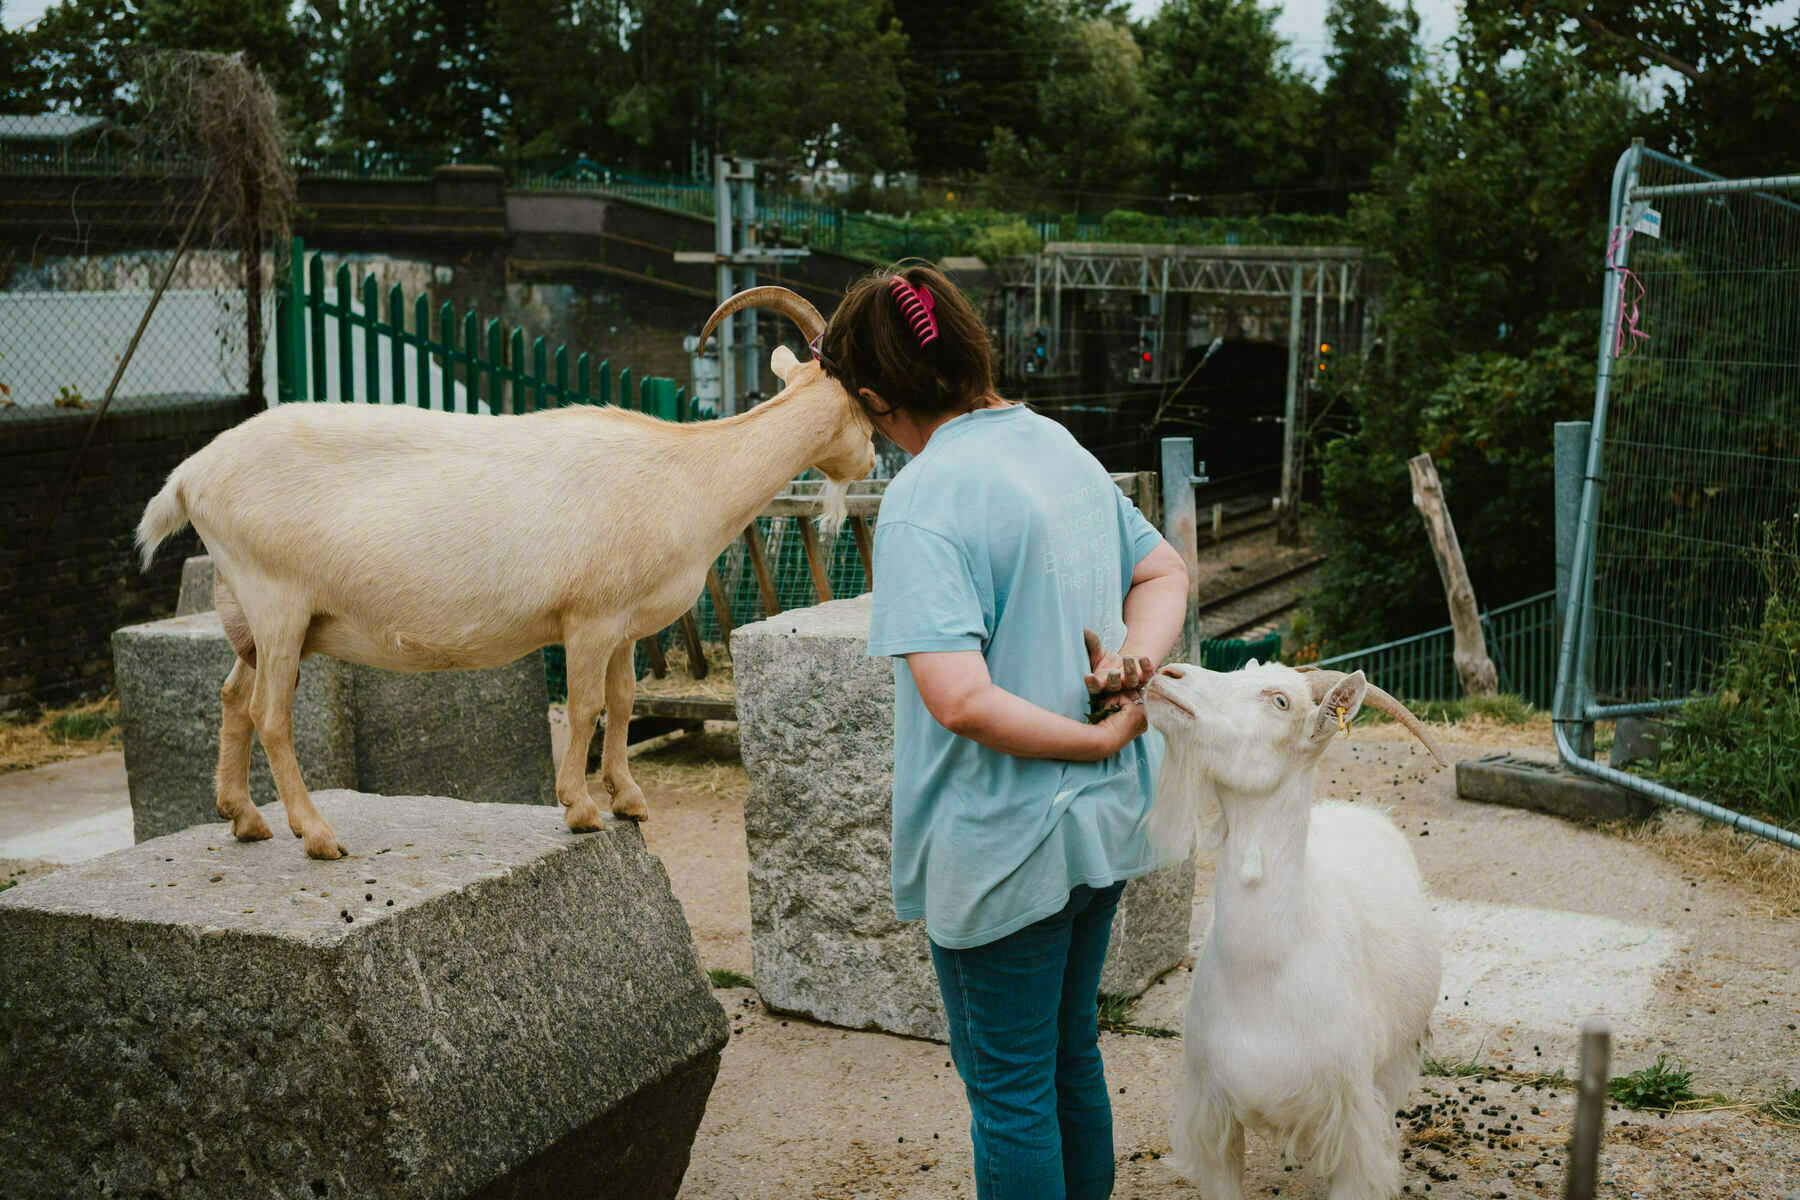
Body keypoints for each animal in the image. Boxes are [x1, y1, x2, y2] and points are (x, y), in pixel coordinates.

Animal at [135, 286, 871, 859]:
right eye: (863, 407)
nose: (867, 460)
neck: (687, 471)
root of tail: (189, 477)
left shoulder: (624, 624)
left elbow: (624, 700)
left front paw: (629, 799)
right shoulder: (589, 618)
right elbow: (585, 705)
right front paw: (581, 809)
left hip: (252, 616)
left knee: (233, 697)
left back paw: (244, 820)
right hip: (278, 602)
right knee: (270, 713)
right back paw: (317, 835)